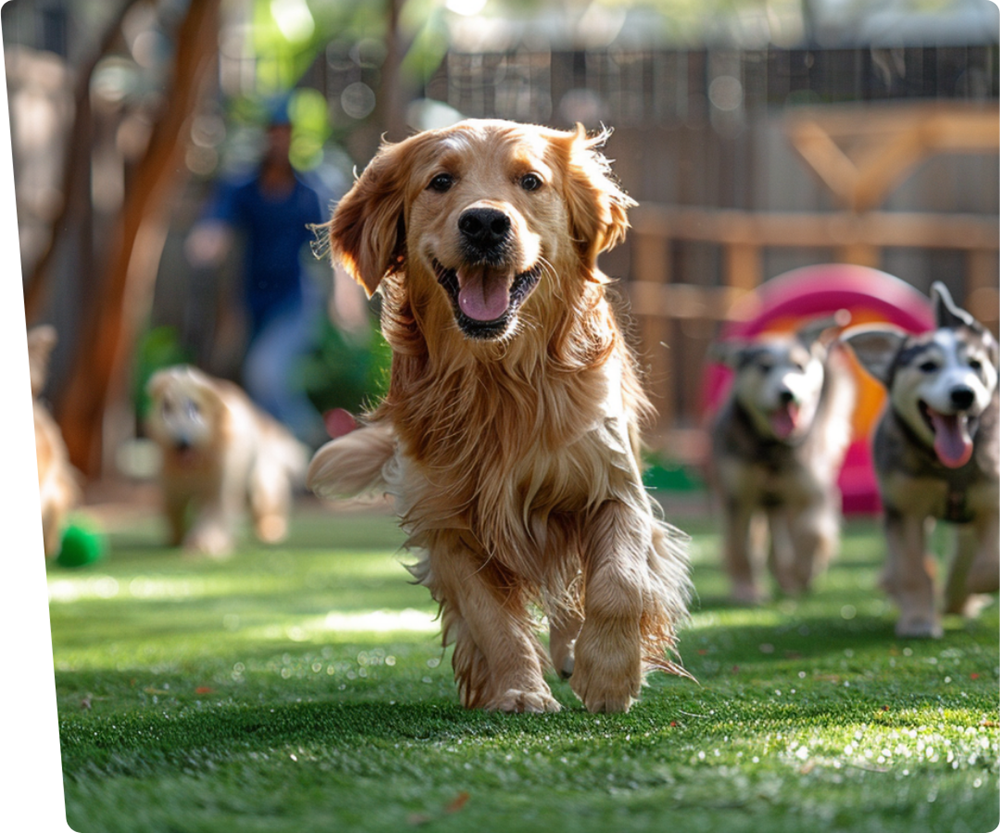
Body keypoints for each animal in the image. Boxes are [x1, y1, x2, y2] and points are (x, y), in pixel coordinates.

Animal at [146, 366, 304, 556]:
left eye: (195, 408)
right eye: (166, 407)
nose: (181, 443)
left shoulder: (217, 491)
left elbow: (214, 516)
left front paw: (205, 544)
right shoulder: (173, 490)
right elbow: (174, 515)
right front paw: (178, 539)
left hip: (263, 487)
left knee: (268, 511)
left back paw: (270, 531)